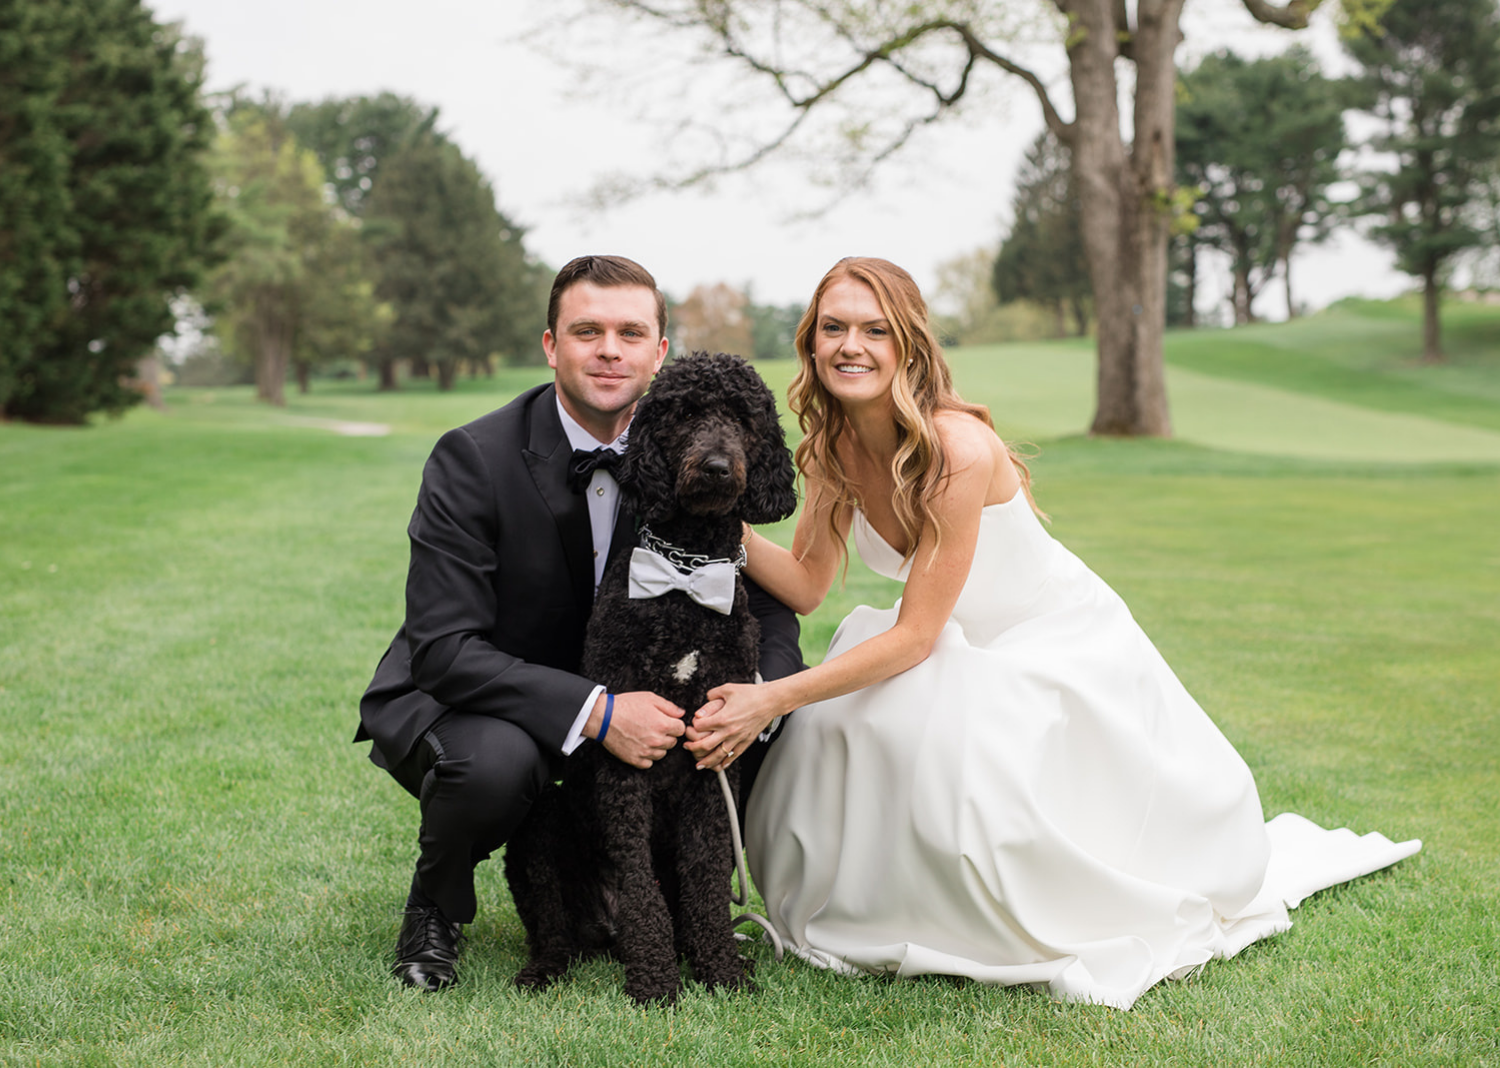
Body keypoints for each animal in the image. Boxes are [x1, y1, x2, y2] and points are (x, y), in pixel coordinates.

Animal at [504, 351, 804, 1002]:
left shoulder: (715, 756)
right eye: (684, 414)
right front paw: (656, 979)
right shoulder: (626, 759)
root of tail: (603, 931)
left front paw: (719, 969)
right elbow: (638, 879)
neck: (684, 579)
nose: (717, 467)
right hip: (542, 827)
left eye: (742, 417)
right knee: (553, 928)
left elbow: (709, 872)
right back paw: (547, 968)